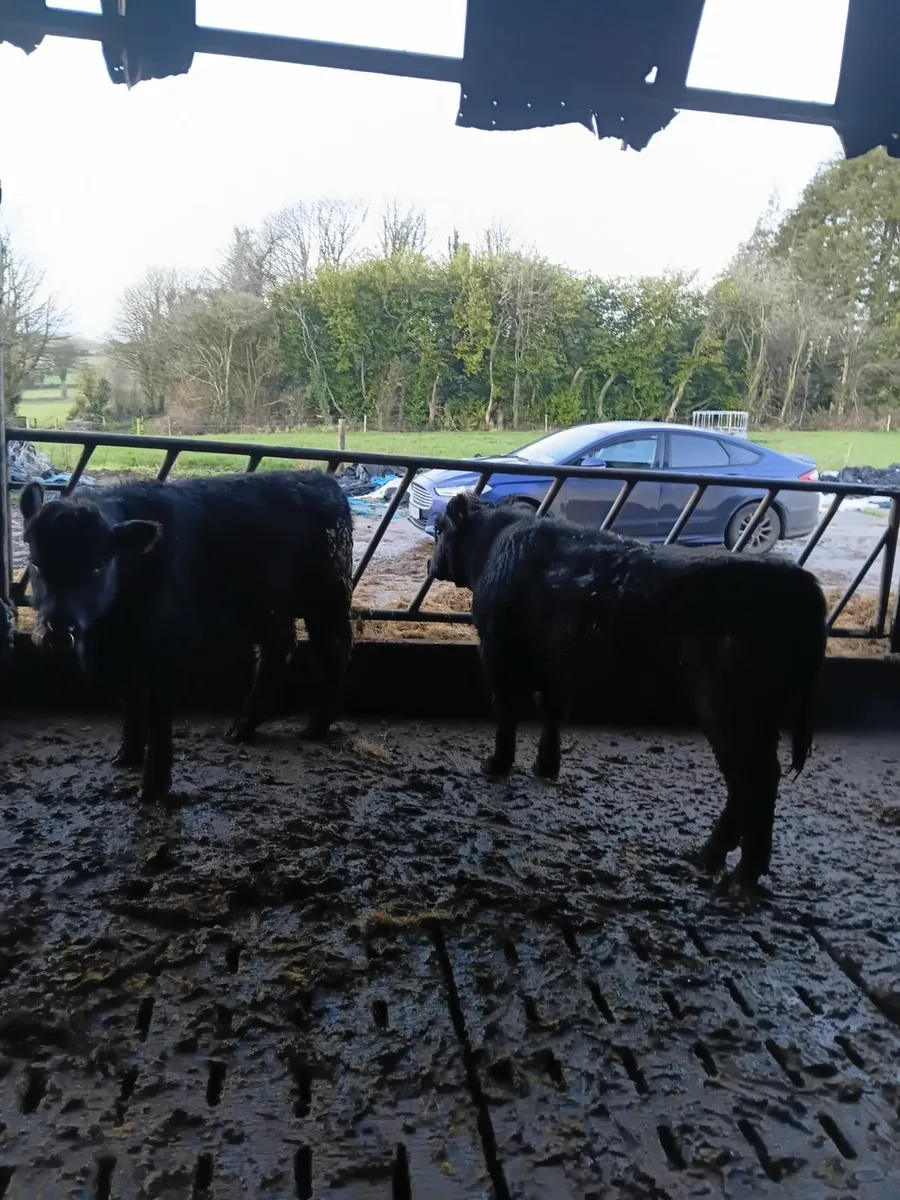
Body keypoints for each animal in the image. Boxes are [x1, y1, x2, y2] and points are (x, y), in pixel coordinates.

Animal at [20, 470, 353, 802]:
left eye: (98, 565)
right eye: (35, 561)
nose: (58, 631)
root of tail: (320, 479)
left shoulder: (167, 653)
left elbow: (159, 717)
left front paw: (154, 786)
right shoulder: (125, 657)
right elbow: (132, 702)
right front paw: (127, 755)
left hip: (328, 600)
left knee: (333, 654)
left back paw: (315, 727)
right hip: (271, 608)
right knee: (279, 649)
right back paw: (243, 729)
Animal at [429, 493, 827, 896]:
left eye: (439, 529)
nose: (431, 564)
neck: (497, 541)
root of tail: (796, 578)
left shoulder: (498, 655)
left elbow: (506, 713)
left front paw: (497, 764)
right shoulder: (558, 665)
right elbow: (552, 712)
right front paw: (546, 765)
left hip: (729, 710)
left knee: (754, 781)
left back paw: (739, 873)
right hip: (758, 718)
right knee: (748, 783)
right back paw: (712, 858)